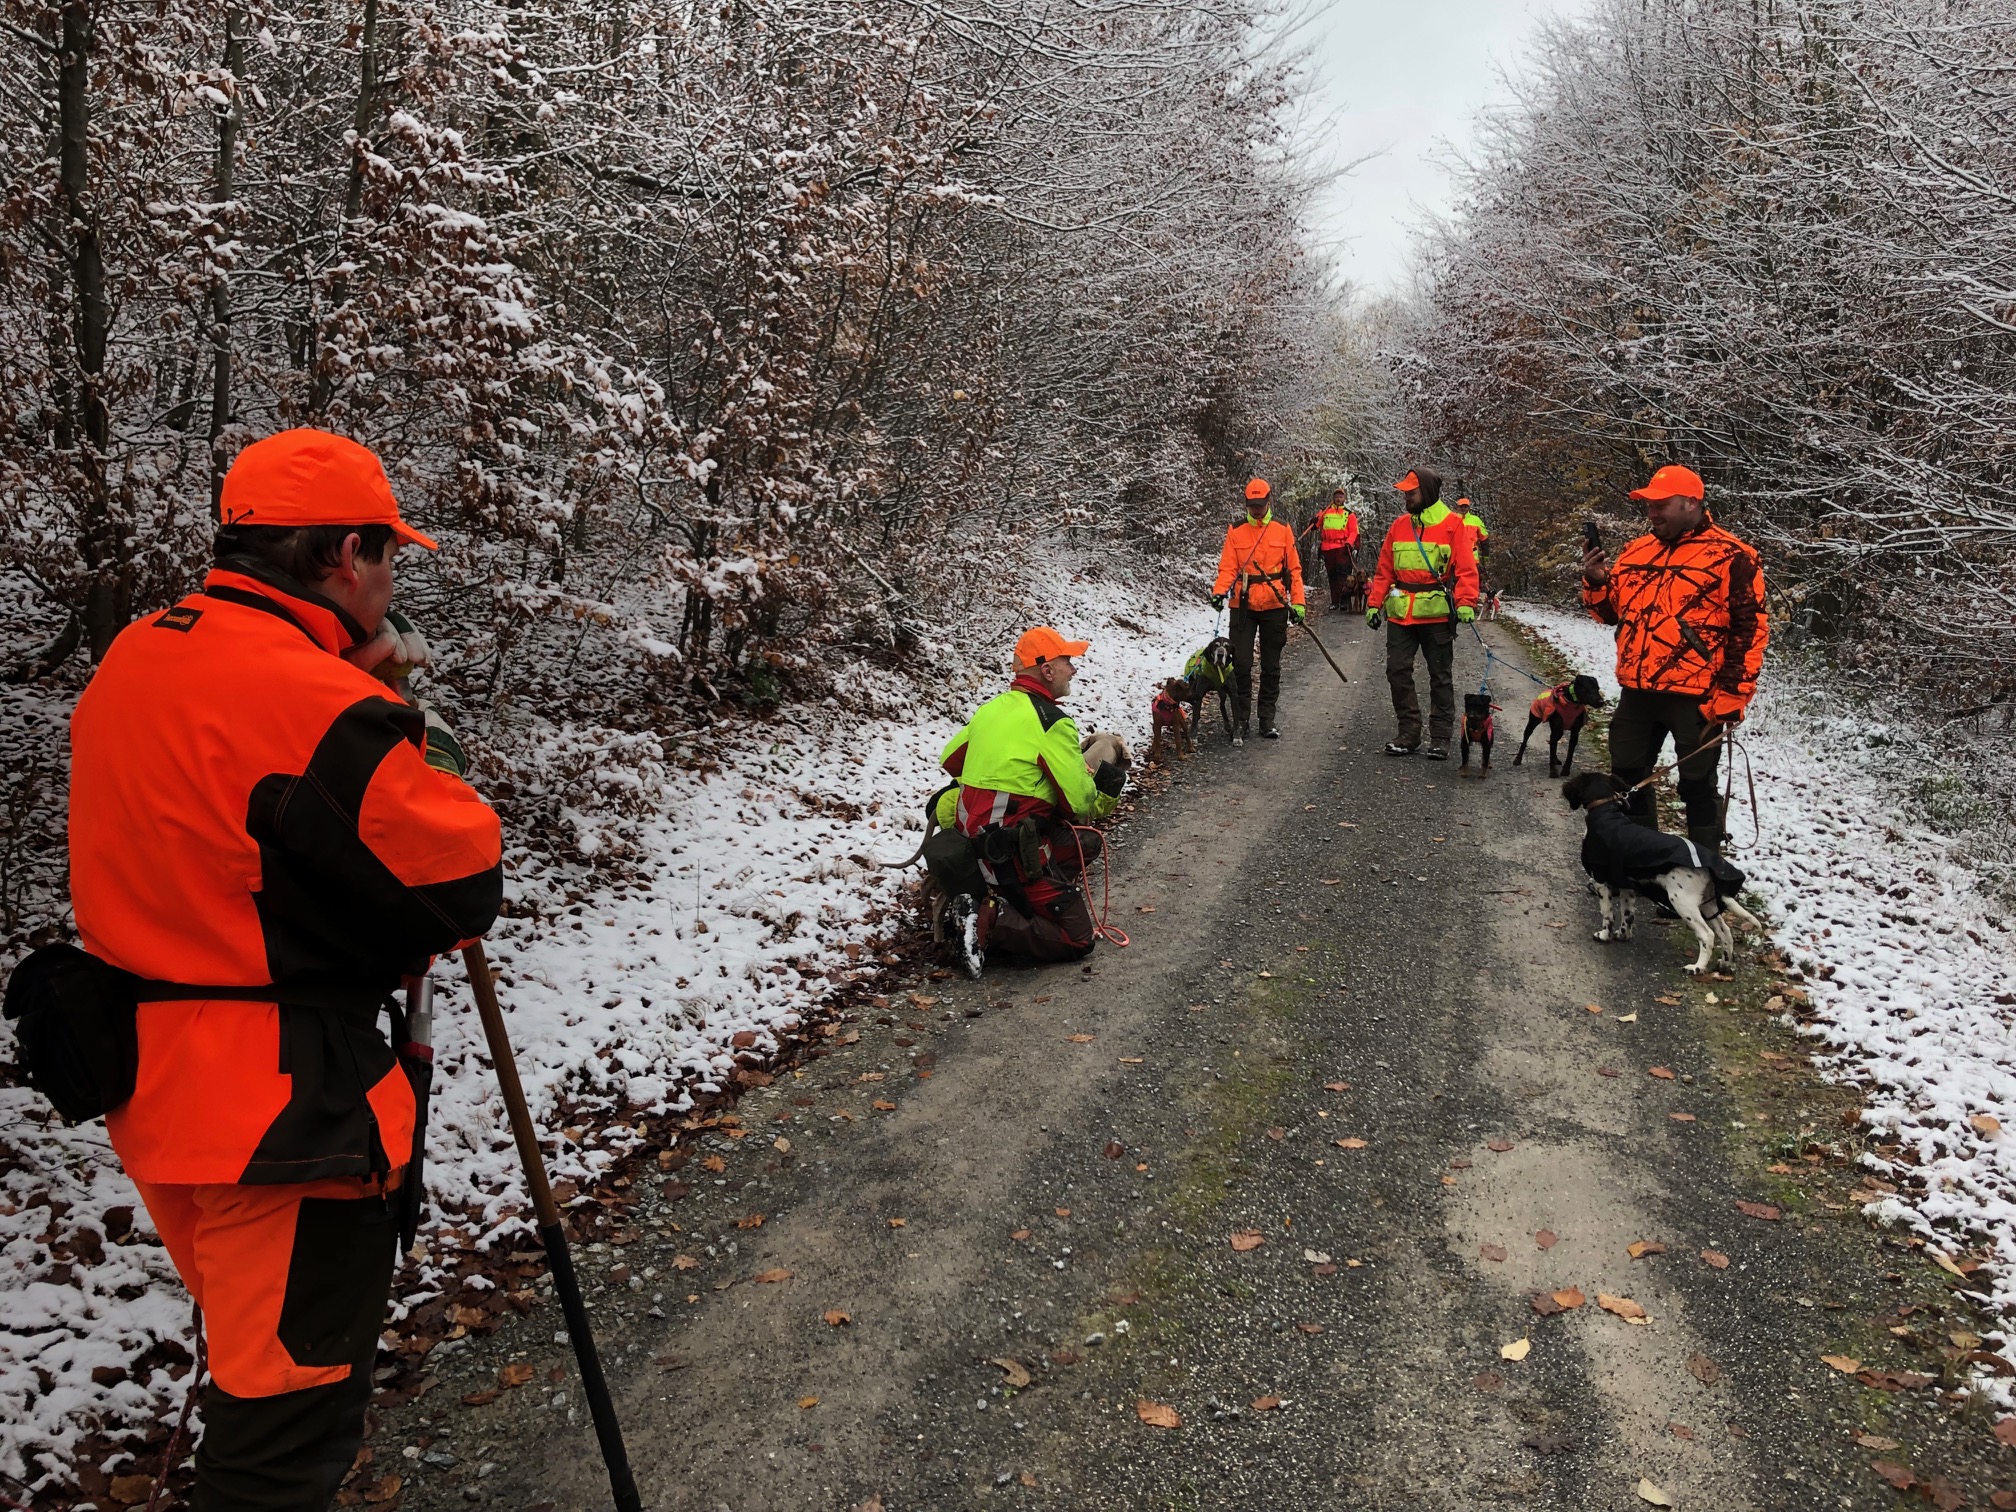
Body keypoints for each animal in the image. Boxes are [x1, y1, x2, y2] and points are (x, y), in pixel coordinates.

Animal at [1564, 774, 1757, 975]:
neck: (1606, 814)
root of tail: (1708, 869)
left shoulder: (1602, 881)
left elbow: (1607, 914)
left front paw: (1603, 935)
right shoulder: (1626, 885)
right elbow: (1627, 914)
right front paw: (1623, 934)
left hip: (1682, 901)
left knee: (1707, 935)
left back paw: (1696, 967)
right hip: (1707, 903)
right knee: (1724, 931)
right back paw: (1726, 964)